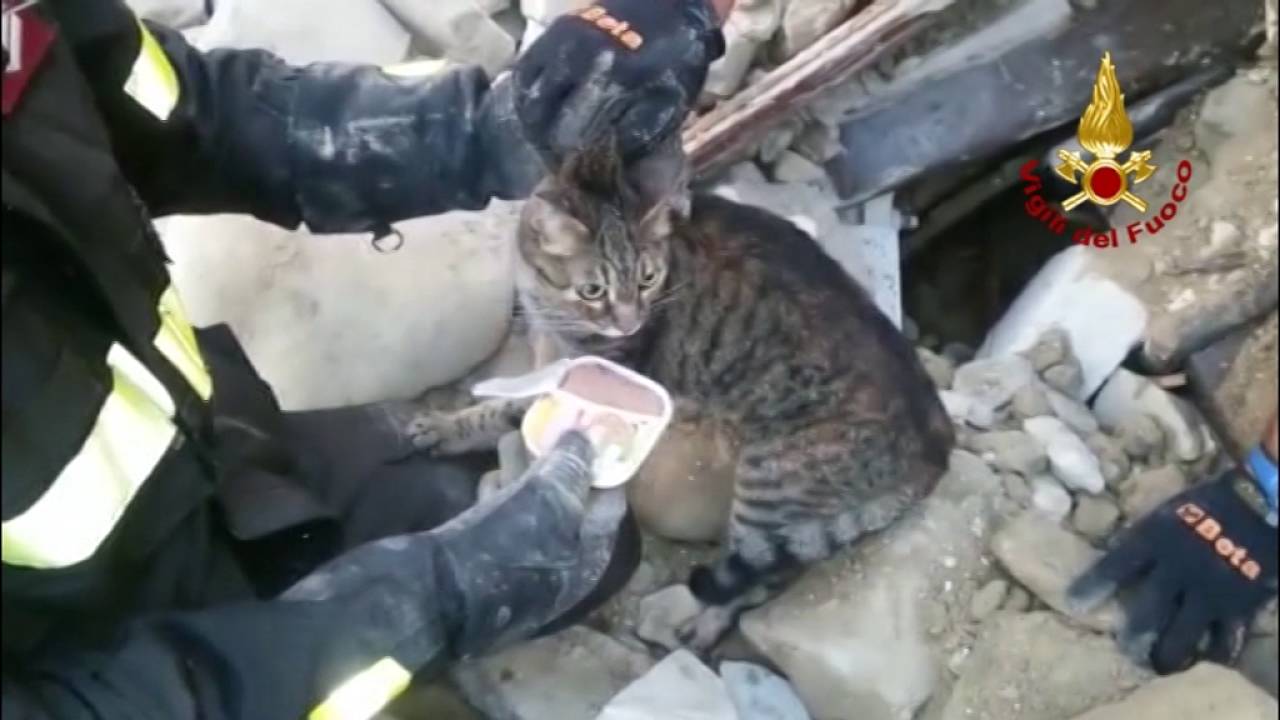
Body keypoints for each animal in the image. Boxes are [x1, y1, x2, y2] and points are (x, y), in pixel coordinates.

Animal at [404, 139, 957, 645]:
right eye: (593, 290)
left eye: (648, 279)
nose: (630, 321)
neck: (552, 304)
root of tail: (939, 441)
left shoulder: (596, 372)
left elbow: (506, 409)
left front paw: (446, 427)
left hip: (770, 490)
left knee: (764, 577)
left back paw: (704, 624)